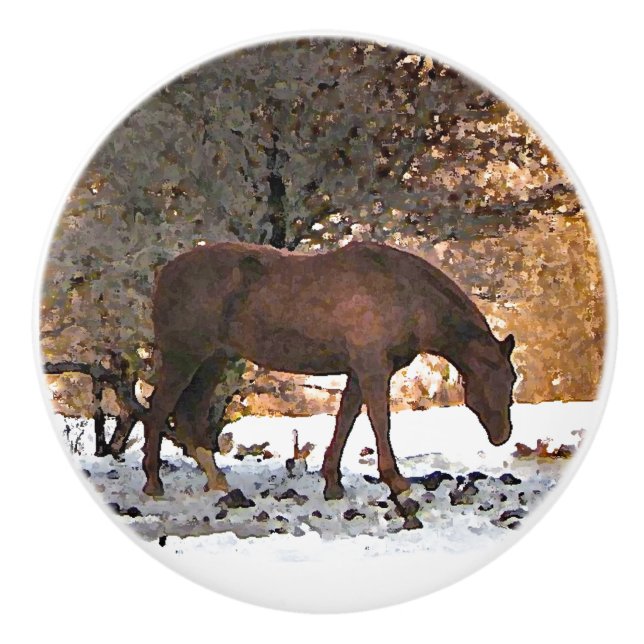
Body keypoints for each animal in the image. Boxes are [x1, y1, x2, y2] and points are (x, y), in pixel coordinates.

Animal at [141, 240, 516, 499]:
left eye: (511, 379)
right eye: (495, 377)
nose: (502, 435)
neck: (404, 292)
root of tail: (165, 273)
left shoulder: (358, 372)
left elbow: (345, 420)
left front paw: (333, 483)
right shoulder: (373, 369)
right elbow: (379, 421)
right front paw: (396, 480)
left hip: (212, 361)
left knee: (189, 416)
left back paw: (217, 481)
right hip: (183, 358)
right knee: (158, 410)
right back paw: (154, 483)